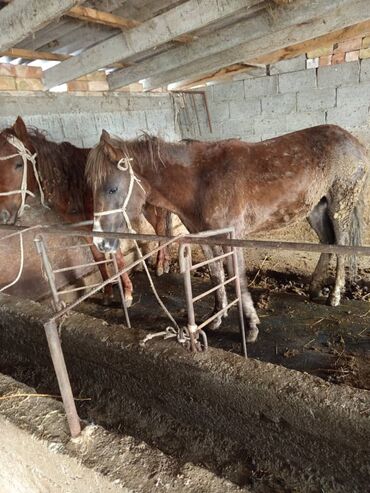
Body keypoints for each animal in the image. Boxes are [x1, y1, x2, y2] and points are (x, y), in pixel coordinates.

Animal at [0, 117, 172, 306]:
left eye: (18, 164)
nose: (3, 215)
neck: (75, 185)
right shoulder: (85, 229)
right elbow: (98, 259)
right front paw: (107, 292)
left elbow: (118, 258)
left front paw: (126, 292)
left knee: (160, 228)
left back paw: (161, 264)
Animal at [86, 124, 368, 342]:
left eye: (112, 189)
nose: (100, 242)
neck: (199, 182)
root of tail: (353, 141)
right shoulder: (206, 239)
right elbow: (216, 275)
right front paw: (216, 317)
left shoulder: (232, 239)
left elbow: (237, 280)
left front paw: (251, 327)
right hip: (316, 208)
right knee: (327, 242)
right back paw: (315, 288)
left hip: (340, 204)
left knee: (341, 245)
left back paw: (334, 295)